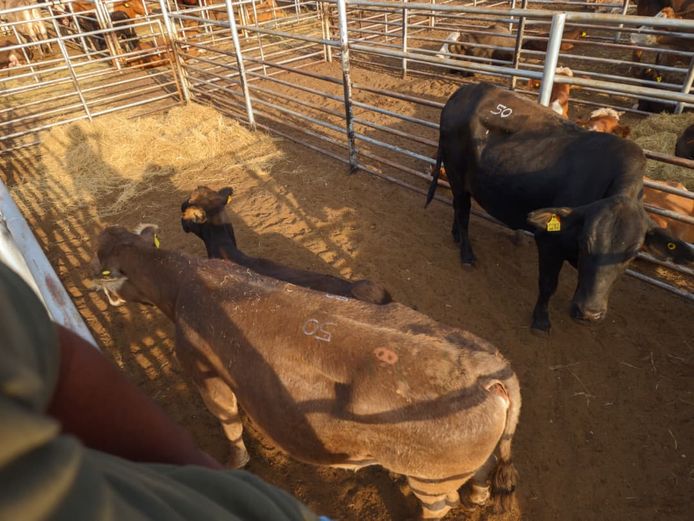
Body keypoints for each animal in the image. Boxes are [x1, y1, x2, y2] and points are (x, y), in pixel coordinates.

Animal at [94, 224, 522, 520]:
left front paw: (234, 460)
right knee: (482, 474)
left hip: (430, 481)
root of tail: (491, 373)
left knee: (439, 506)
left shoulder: (206, 377)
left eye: (104, 264)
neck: (186, 282)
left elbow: (229, 425)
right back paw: (478, 495)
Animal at [426, 83, 693, 332]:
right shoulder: (549, 241)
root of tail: (466, 90)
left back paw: (456, 235)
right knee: (463, 212)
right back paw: (467, 253)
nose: (589, 313)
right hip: (456, 173)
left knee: (459, 207)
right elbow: (547, 285)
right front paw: (541, 320)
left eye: (632, 253)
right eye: (585, 243)